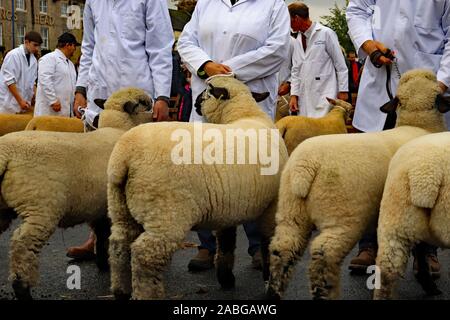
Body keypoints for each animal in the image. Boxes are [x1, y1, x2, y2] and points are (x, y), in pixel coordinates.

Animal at [0, 87, 154, 300]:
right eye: (145, 103)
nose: (156, 114)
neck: (118, 128)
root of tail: (5, 154)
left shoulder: (101, 208)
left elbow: (102, 235)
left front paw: (103, 263)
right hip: (41, 209)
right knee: (22, 246)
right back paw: (22, 290)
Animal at [106, 75, 288, 300]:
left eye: (207, 92)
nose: (194, 104)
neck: (244, 114)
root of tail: (125, 156)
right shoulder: (271, 206)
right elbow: (268, 246)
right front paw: (271, 288)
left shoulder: (230, 207)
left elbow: (226, 244)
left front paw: (226, 279)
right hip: (166, 213)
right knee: (144, 254)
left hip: (120, 206)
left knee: (119, 243)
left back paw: (120, 290)